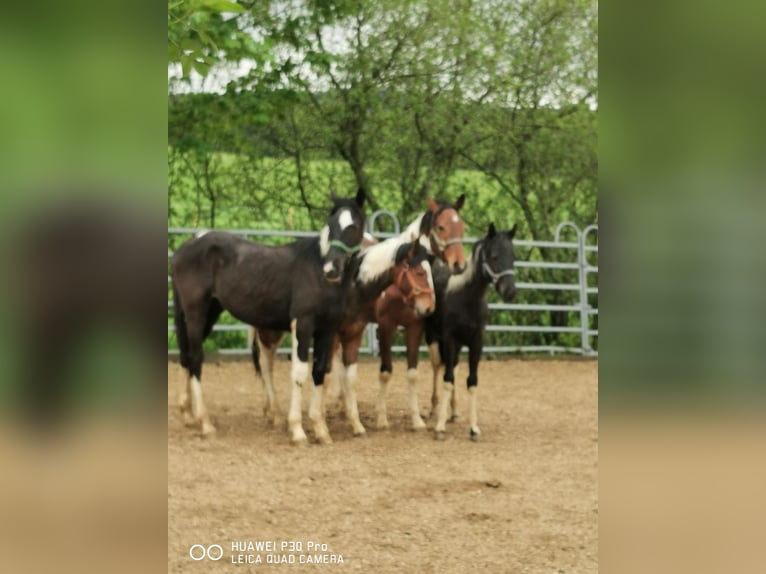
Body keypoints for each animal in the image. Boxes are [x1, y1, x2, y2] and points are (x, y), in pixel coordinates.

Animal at [172, 190, 368, 446]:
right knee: (195, 358)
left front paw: (321, 429)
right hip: (196, 313)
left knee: (186, 356)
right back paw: (205, 423)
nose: (331, 269)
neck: (316, 272)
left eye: (353, 226)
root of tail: (185, 247)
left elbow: (319, 371)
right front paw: (297, 430)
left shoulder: (327, 329)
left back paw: (188, 414)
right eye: (331, 224)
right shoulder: (303, 325)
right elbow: (299, 373)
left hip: (208, 313)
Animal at [372, 196, 468, 430]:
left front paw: (417, 419)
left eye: (462, 226)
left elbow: (413, 373)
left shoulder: (416, 327)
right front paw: (382, 418)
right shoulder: (386, 327)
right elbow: (386, 371)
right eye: (441, 227)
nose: (459, 265)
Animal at [428, 223, 520, 444]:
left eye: (513, 256)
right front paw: (440, 428)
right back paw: (434, 409)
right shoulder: (449, 339)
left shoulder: (476, 342)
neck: (465, 297)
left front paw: (474, 429)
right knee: (437, 367)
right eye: (494, 256)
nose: (510, 291)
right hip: (432, 339)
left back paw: (453, 412)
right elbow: (447, 379)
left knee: (451, 367)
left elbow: (471, 381)